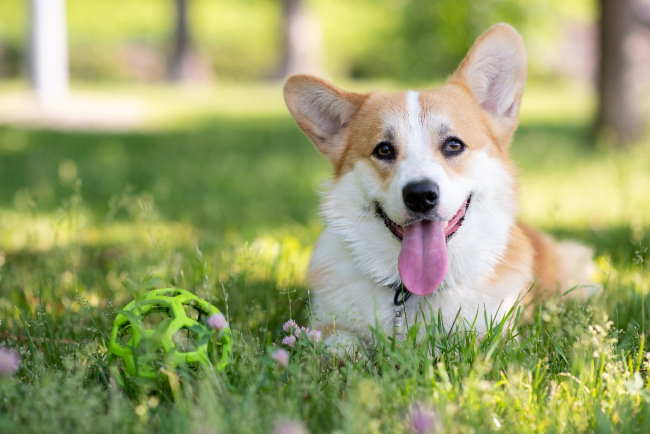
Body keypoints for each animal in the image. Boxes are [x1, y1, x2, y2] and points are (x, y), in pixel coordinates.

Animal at [280, 22, 596, 350]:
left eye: (454, 145)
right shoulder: (327, 323)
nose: (420, 196)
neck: (413, 291)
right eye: (384, 150)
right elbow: (339, 342)